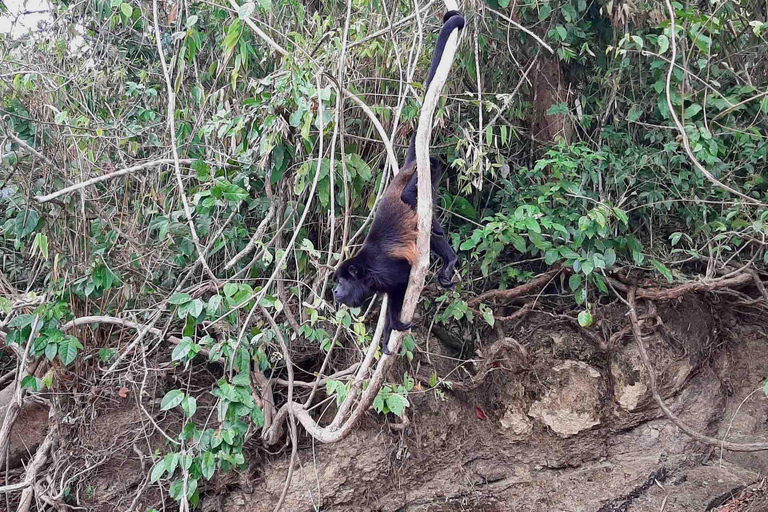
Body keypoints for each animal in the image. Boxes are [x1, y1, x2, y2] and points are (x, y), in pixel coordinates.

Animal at [333, 10, 465, 355]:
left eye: (342, 281)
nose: (334, 293)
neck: (365, 273)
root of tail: (406, 170)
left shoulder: (385, 271)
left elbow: (402, 282)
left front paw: (395, 323)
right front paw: (389, 333)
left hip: (427, 171)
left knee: (421, 212)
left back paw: (448, 257)